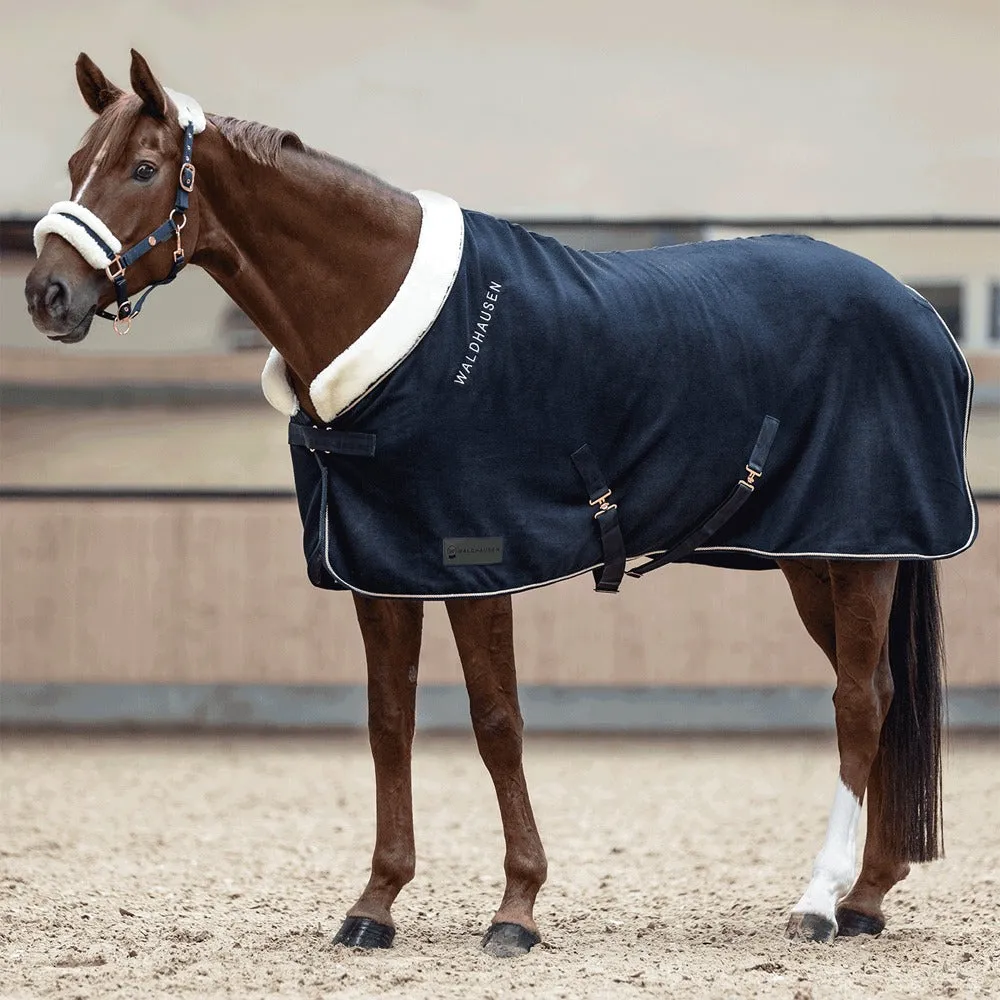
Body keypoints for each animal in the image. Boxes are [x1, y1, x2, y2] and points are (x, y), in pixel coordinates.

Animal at [25, 50, 976, 958]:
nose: (47, 295)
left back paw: (818, 902)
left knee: (857, 702)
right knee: (881, 691)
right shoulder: (383, 569)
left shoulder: (476, 561)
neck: (403, 334)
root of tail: (917, 309)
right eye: (75, 162)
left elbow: (496, 724)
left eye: (144, 168)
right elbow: (389, 722)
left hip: (858, 551)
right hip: (817, 558)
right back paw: (866, 898)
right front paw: (374, 905)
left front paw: (516, 909)